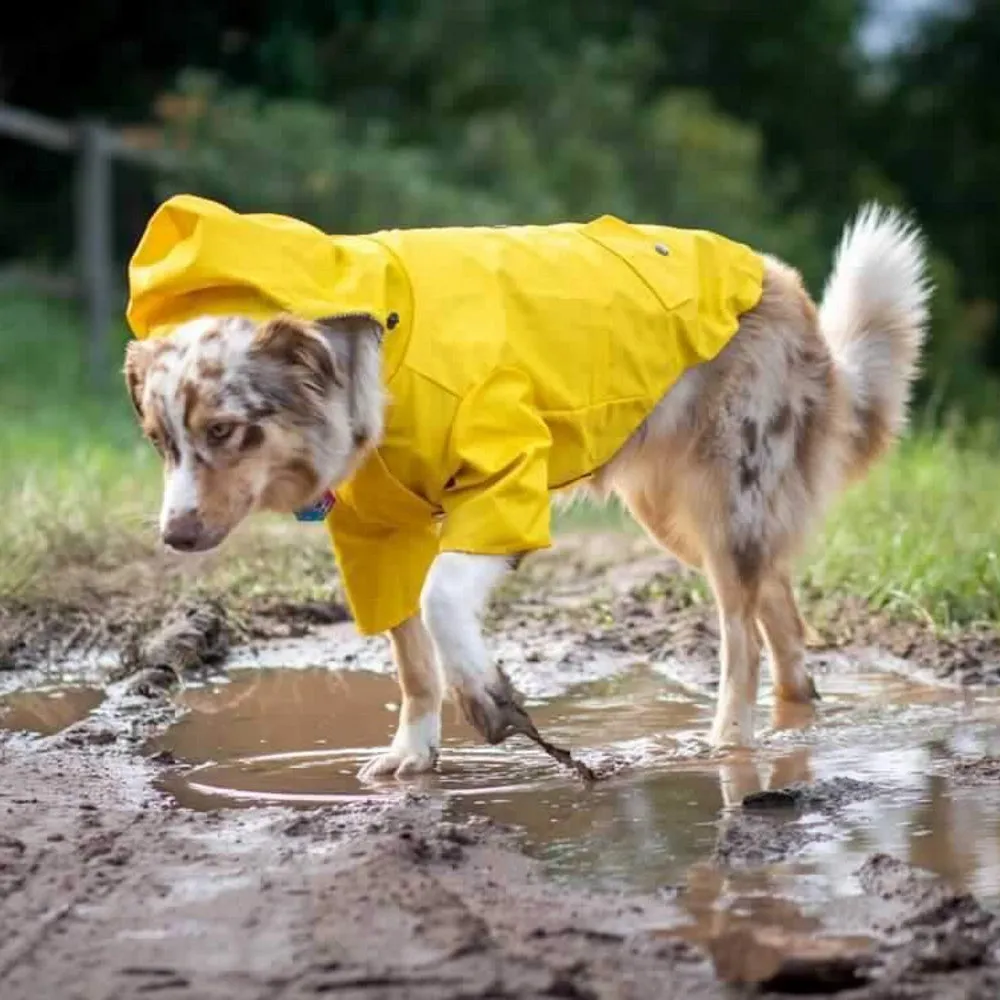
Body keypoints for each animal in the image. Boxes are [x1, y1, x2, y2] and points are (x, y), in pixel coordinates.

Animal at [125, 199, 928, 776]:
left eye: (225, 430)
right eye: (160, 442)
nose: (175, 536)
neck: (374, 365)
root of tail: (783, 284)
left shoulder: (505, 488)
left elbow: (440, 598)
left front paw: (485, 695)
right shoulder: (375, 535)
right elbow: (411, 658)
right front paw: (414, 751)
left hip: (727, 503)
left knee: (744, 640)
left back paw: (729, 742)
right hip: (677, 514)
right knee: (781, 618)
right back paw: (796, 721)